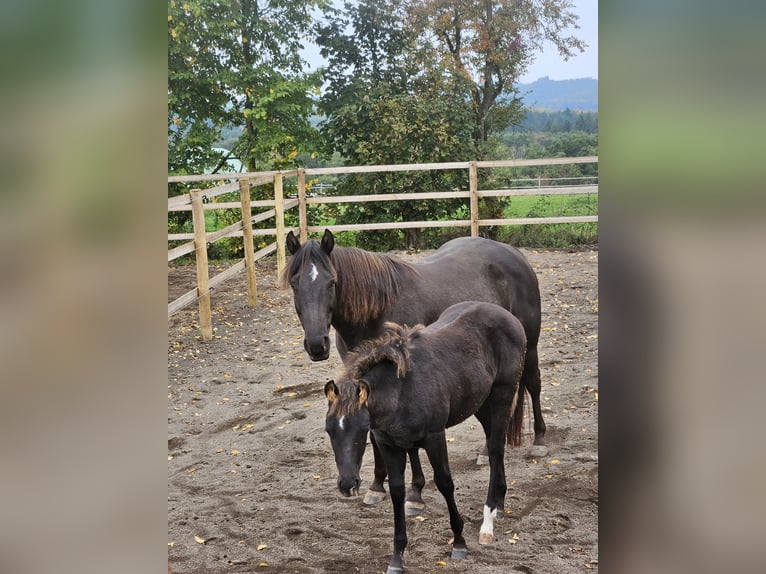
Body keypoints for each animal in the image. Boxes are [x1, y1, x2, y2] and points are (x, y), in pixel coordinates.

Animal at [283, 229, 546, 511]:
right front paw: (378, 485)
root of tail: (513, 252)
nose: (316, 345)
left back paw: (540, 440)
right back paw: (487, 452)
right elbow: (376, 434)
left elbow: (411, 446)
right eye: (294, 284)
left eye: (332, 282)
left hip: (530, 347)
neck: (376, 312)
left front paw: (415, 491)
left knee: (534, 384)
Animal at [324, 301, 527, 574]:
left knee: (495, 450)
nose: (347, 484)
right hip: (481, 404)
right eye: (329, 431)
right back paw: (500, 503)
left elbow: (445, 483)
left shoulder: (434, 437)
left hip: (502, 396)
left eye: (361, 430)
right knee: (496, 445)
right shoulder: (389, 444)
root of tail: (510, 318)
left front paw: (459, 543)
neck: (401, 391)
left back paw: (488, 522)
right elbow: (397, 492)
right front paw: (397, 558)